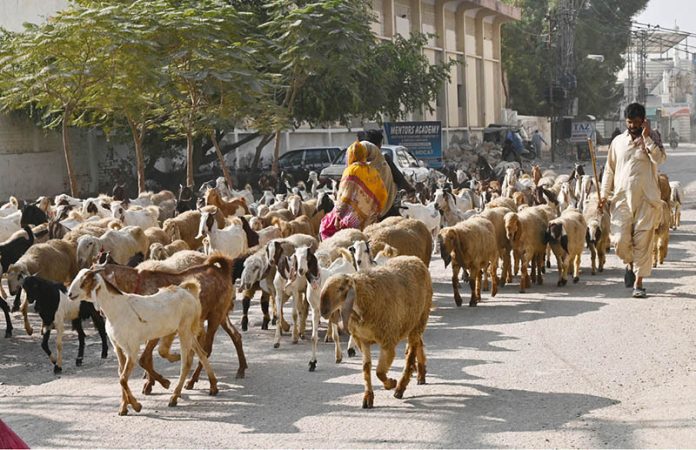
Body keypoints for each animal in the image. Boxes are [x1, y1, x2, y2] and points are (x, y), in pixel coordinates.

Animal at [67, 271, 216, 415]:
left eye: (85, 281)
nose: (69, 294)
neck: (117, 309)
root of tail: (187, 292)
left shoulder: (132, 348)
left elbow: (123, 378)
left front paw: (137, 405)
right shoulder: (118, 347)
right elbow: (121, 374)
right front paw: (124, 407)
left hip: (184, 329)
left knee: (186, 362)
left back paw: (174, 396)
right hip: (188, 331)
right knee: (202, 353)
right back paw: (213, 386)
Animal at [320, 256, 432, 408]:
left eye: (341, 288)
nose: (323, 311)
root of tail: (415, 259)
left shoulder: (387, 342)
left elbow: (379, 372)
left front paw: (391, 383)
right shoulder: (362, 340)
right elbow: (366, 368)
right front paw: (368, 398)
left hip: (419, 320)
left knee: (411, 354)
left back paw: (400, 388)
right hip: (411, 324)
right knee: (418, 343)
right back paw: (421, 374)